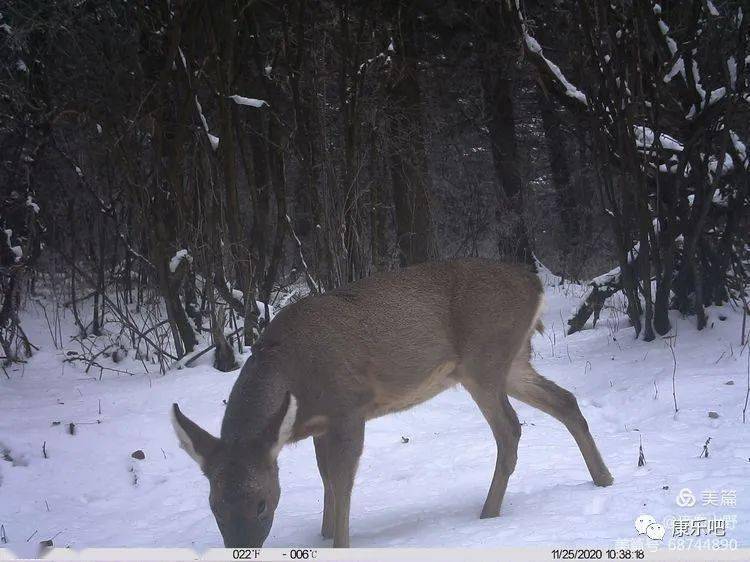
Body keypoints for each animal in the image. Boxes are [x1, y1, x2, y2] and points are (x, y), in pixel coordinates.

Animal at [172, 258, 616, 548]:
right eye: (213, 506)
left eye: (263, 503)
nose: (240, 549)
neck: (291, 368)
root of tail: (535, 285)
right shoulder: (320, 424)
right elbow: (325, 479)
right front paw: (324, 534)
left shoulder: (349, 407)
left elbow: (342, 481)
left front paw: (340, 544)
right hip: (512, 361)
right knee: (565, 401)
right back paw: (604, 479)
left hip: (485, 359)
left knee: (510, 428)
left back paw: (487, 515)